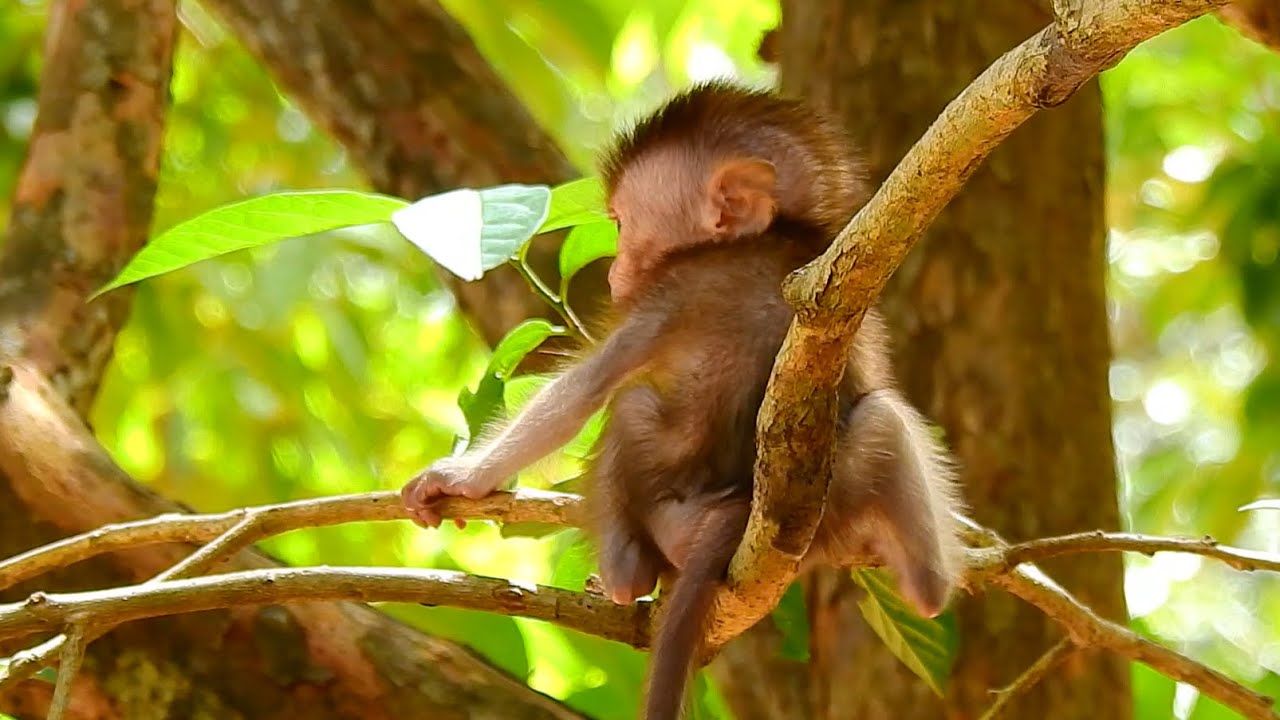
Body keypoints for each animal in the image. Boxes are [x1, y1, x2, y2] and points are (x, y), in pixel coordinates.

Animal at [402, 81, 966, 720]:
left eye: (623, 223)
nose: (616, 270)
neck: (767, 236)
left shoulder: (673, 287)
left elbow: (587, 387)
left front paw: (461, 477)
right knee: (885, 419)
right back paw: (926, 584)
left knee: (632, 407)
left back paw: (624, 572)